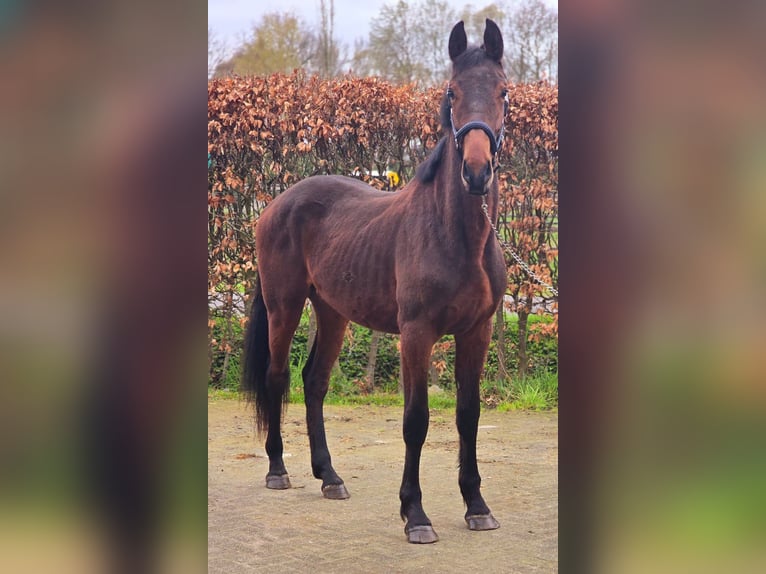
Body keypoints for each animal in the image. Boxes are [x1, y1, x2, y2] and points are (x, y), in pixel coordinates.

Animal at [242, 19, 508, 544]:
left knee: (314, 382)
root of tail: (276, 203)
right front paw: (415, 514)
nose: (476, 173)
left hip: (332, 312)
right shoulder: (416, 334)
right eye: (451, 92)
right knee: (278, 377)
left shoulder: (477, 332)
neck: (456, 235)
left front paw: (476, 506)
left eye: (504, 92)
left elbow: (467, 416)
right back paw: (278, 470)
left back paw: (329, 477)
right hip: (285, 307)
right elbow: (416, 420)